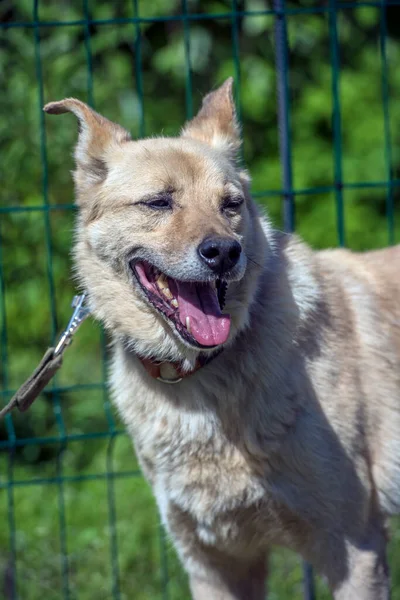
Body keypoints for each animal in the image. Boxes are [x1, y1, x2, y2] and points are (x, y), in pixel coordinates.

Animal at [44, 81, 400, 600]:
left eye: (231, 205)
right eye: (158, 203)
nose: (224, 252)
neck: (201, 377)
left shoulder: (355, 549)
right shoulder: (216, 560)